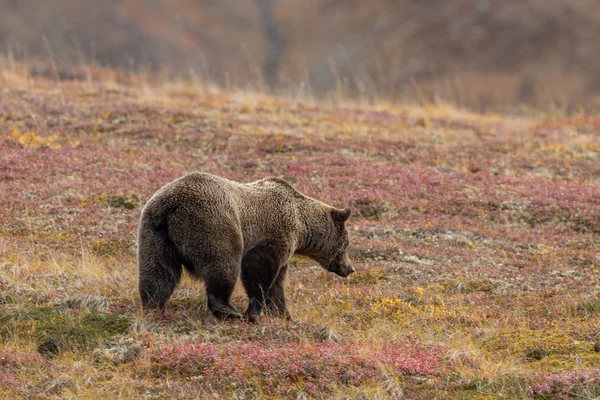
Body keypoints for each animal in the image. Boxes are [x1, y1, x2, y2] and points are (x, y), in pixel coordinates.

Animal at [137, 172, 352, 322]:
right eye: (346, 244)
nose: (350, 268)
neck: (301, 226)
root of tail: (169, 205)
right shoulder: (271, 236)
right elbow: (258, 273)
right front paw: (253, 313)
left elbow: (277, 285)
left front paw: (285, 315)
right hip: (213, 223)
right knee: (223, 266)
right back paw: (230, 311)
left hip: (154, 234)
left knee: (159, 273)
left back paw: (153, 307)